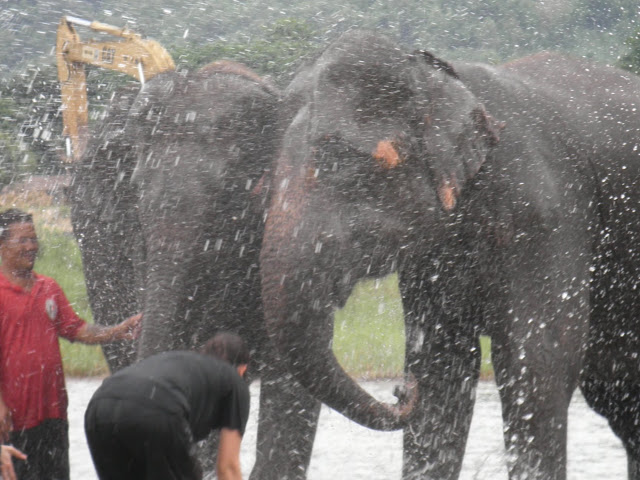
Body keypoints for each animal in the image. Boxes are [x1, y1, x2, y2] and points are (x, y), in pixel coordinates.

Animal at [258, 31, 640, 480]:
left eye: (344, 166)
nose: (400, 389)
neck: (445, 79)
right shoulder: (431, 253)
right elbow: (441, 368)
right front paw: (426, 383)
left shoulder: (547, 218)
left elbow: (537, 363)